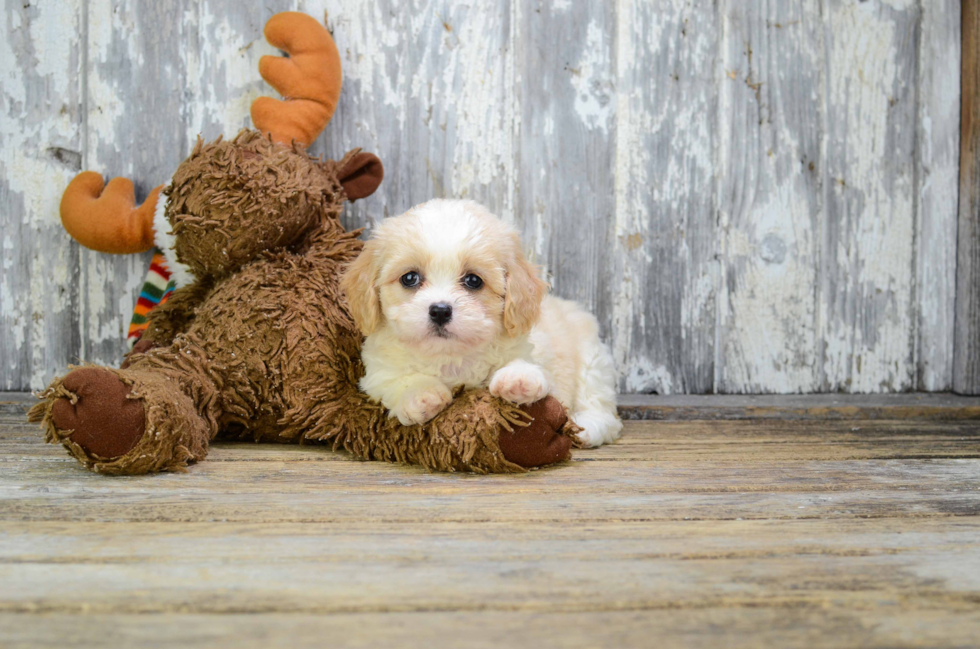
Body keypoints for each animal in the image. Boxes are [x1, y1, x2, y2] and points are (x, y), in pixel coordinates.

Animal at [340, 200, 624, 448]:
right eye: (410, 278)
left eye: (473, 281)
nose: (440, 311)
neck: (450, 356)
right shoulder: (376, 375)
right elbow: (396, 381)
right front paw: (421, 395)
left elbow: (534, 369)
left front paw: (518, 378)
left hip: (593, 362)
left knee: (603, 410)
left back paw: (585, 428)